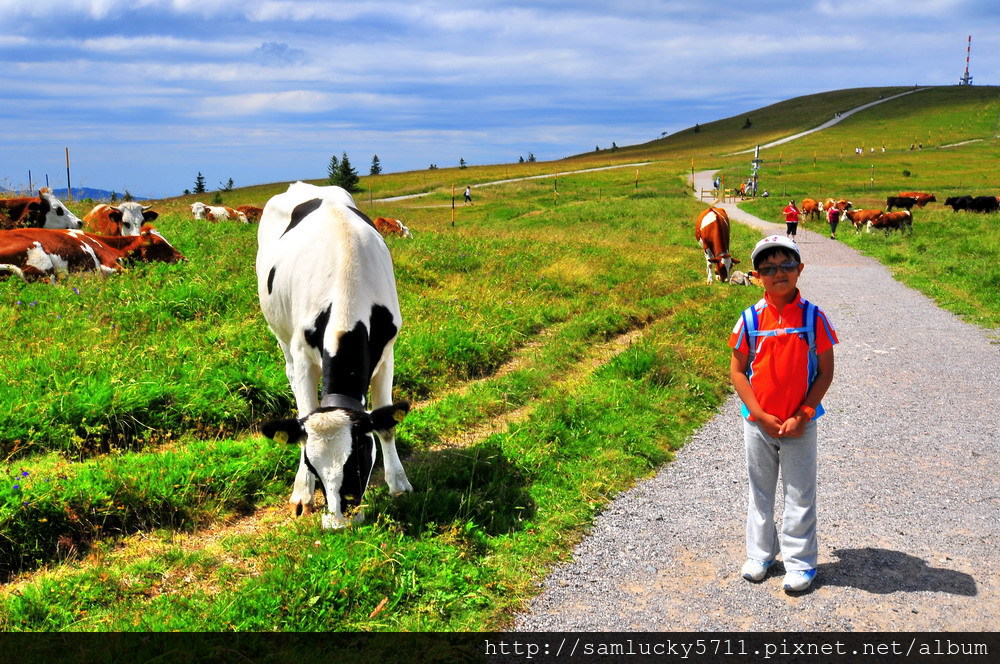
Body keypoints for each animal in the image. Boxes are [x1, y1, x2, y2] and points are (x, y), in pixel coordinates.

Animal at [260, 182, 416, 528]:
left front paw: (399, 485)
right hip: (281, 334)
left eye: (358, 460)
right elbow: (304, 419)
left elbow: (385, 423)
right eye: (312, 466)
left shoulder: (387, 353)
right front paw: (302, 493)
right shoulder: (303, 357)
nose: (337, 523)